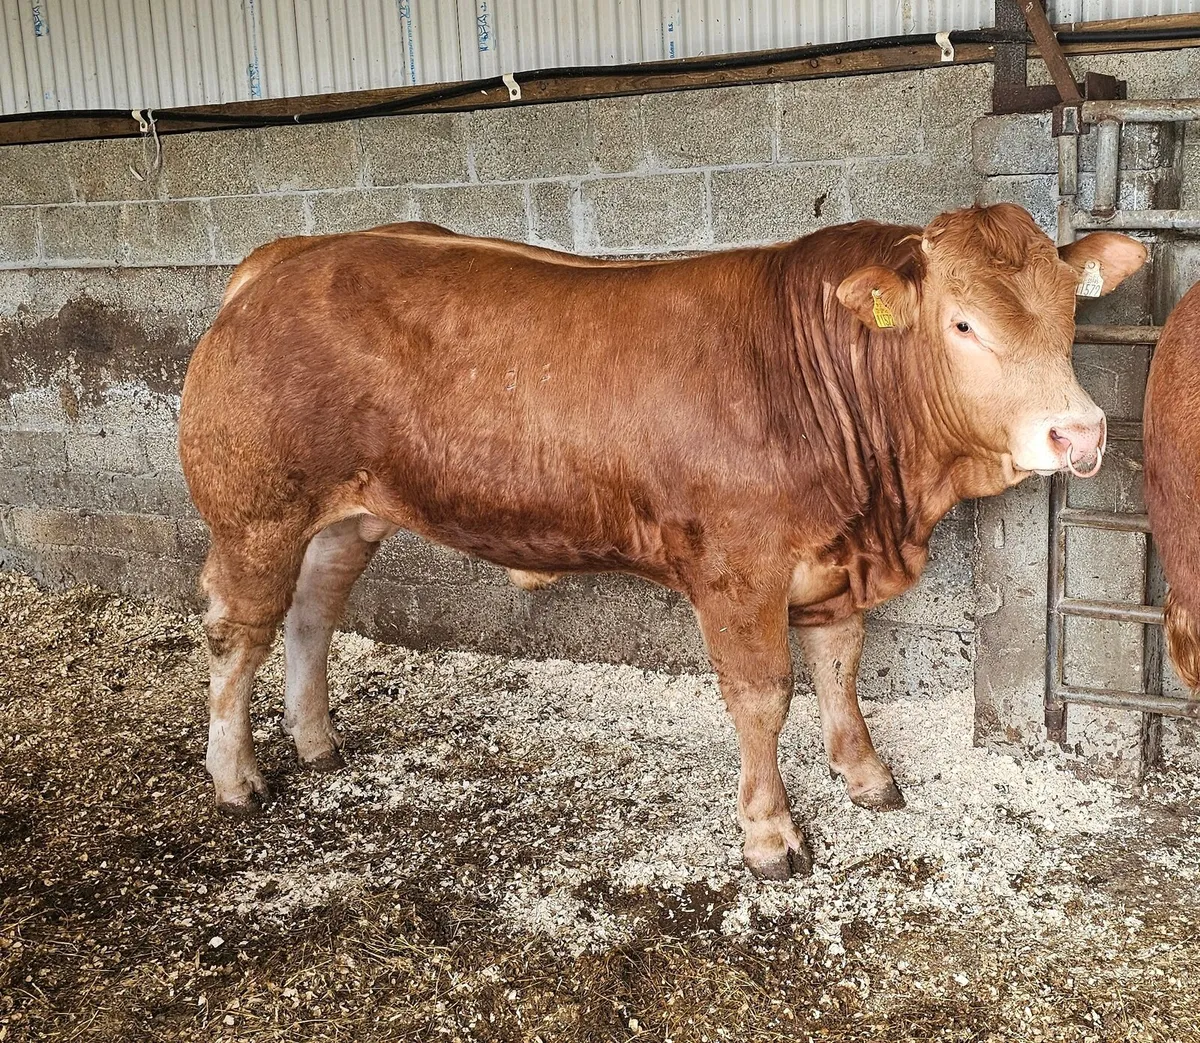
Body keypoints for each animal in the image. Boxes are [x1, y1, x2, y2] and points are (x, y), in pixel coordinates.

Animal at [178, 204, 1146, 880]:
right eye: (962, 323)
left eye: (1069, 311)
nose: (1080, 433)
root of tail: (287, 255)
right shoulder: (736, 571)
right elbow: (763, 696)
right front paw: (770, 836)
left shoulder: (832, 562)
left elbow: (840, 665)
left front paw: (866, 775)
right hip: (255, 512)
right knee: (238, 630)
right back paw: (235, 777)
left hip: (348, 514)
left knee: (311, 614)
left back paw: (317, 740)